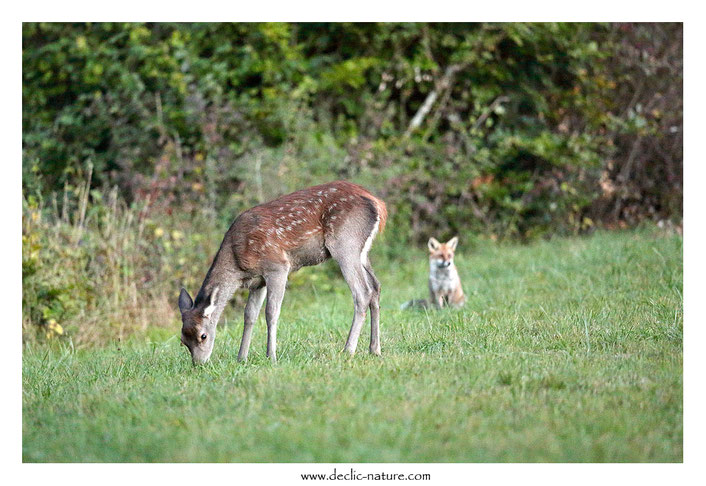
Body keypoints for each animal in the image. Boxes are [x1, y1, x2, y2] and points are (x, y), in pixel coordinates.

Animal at [176, 181, 384, 364]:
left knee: (362, 292)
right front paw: (241, 358)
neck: (237, 264)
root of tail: (377, 203)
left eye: (203, 335)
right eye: (183, 340)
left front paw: (271, 356)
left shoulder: (277, 266)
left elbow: (271, 312)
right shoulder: (257, 281)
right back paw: (374, 349)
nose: (199, 364)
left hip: (344, 243)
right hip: (362, 252)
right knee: (375, 287)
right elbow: (249, 315)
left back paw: (348, 349)